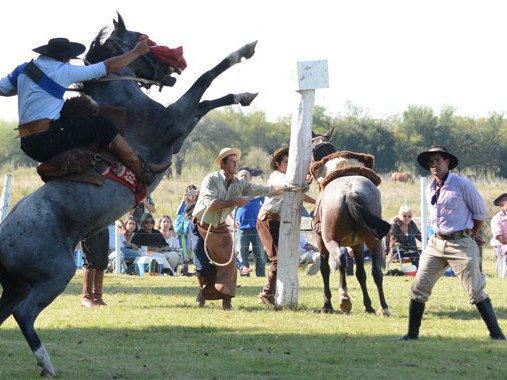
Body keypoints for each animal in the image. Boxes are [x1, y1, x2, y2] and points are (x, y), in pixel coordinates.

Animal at [0, 12, 260, 378]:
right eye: (144, 38)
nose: (178, 63)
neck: (124, 105)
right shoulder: (175, 123)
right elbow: (205, 84)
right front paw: (244, 58)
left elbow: (207, 97)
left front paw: (245, 92)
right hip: (54, 275)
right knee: (24, 314)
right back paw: (46, 362)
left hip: (15, 286)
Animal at [310, 129, 392, 316]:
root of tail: (350, 193)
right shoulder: (358, 244)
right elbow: (361, 273)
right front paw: (368, 305)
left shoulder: (321, 240)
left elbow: (325, 269)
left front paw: (327, 305)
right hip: (374, 241)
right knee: (377, 272)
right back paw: (383, 307)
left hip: (330, 240)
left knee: (340, 260)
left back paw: (344, 299)